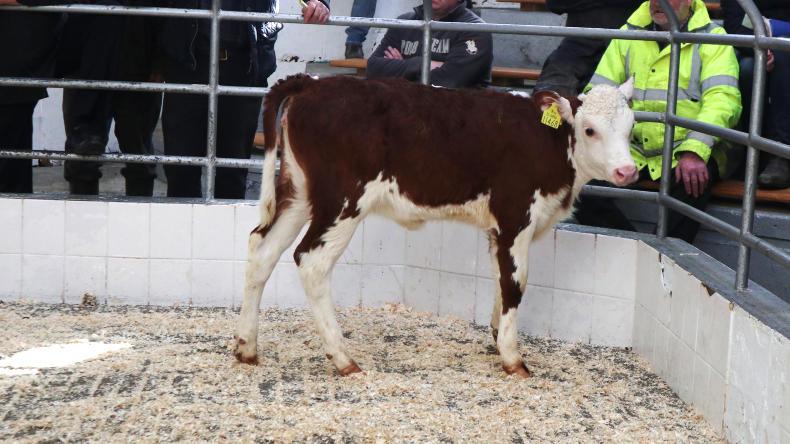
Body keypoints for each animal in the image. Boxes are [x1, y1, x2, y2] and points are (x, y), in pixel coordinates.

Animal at [233, 74, 637, 378]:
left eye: (631, 129)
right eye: (589, 130)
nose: (627, 171)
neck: (551, 142)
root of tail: (312, 82)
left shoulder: (498, 229)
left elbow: (498, 277)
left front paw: (496, 337)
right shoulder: (516, 216)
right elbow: (515, 282)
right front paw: (512, 357)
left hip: (299, 195)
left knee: (262, 250)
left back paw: (247, 348)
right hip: (342, 202)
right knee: (311, 261)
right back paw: (344, 359)